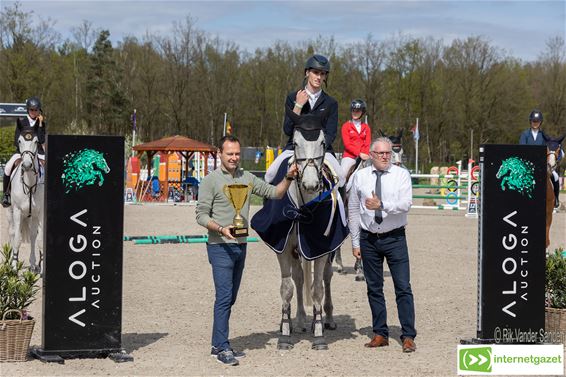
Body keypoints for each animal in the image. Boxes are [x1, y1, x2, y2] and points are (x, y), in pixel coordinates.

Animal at [7, 132, 43, 274]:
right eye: (19, 141)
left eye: (36, 142)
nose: (27, 165)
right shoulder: (17, 211)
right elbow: (17, 238)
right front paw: (14, 268)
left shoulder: (39, 214)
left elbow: (39, 240)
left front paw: (40, 267)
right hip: (12, 213)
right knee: (13, 233)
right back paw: (10, 262)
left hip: (31, 216)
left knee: (33, 236)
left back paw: (33, 264)